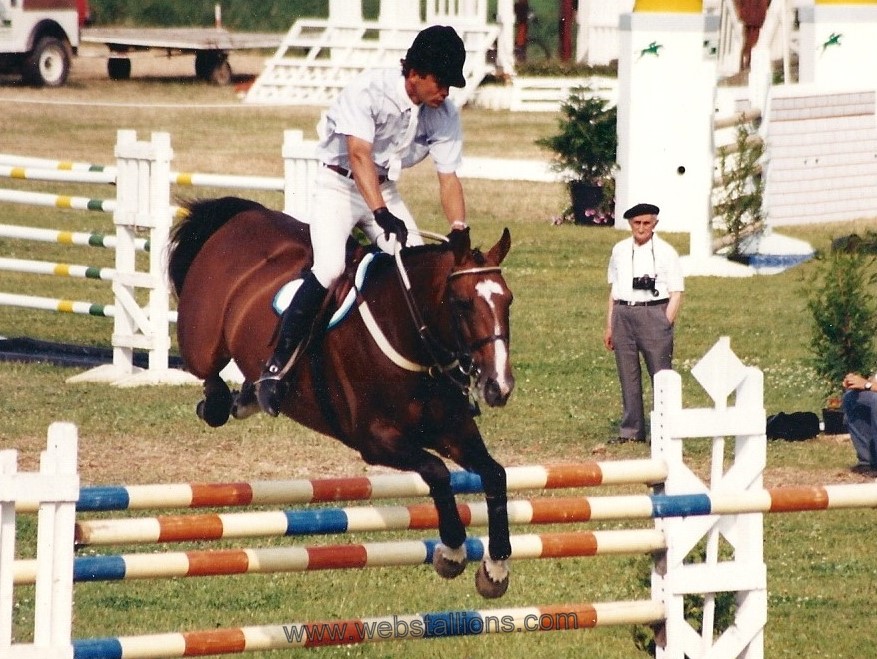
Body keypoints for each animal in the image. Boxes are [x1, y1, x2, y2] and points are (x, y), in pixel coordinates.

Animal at [167, 197, 515, 598]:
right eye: (461, 303)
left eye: (508, 301)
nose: (499, 385)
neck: (408, 331)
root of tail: (244, 216)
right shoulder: (375, 441)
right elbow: (437, 472)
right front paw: (452, 552)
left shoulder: (454, 431)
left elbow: (495, 474)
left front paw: (495, 568)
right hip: (202, 342)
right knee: (207, 375)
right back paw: (233, 398)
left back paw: (253, 394)